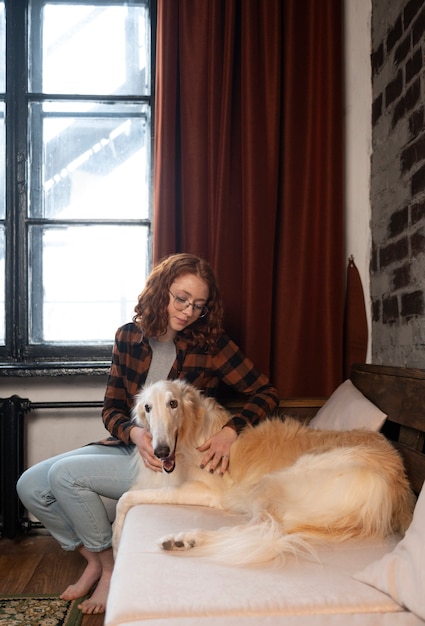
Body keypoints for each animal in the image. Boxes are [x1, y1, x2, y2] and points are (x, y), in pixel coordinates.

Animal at [112, 378, 414, 564]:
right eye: (147, 408)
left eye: (173, 403)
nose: (161, 452)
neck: (192, 436)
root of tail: (397, 482)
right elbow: (129, 494)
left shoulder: (204, 491)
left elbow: (125, 499)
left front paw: (115, 543)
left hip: (274, 483)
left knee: (261, 531)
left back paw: (185, 539)